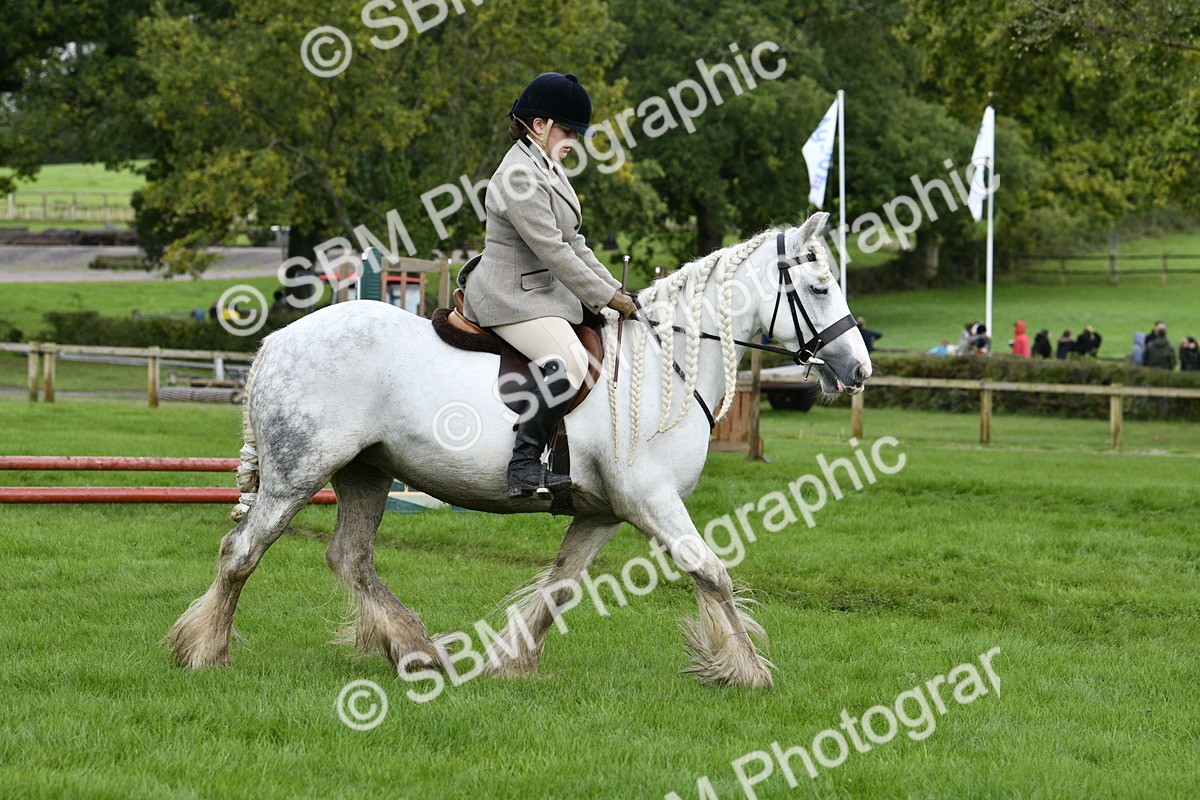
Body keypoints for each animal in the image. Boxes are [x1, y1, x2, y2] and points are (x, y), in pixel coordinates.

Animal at [167, 212, 871, 689]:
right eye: (819, 287)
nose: (858, 369)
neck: (662, 363)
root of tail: (277, 341)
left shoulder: (602, 511)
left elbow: (560, 587)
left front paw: (515, 663)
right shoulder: (652, 500)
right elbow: (711, 572)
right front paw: (748, 670)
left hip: (366, 472)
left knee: (350, 558)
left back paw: (419, 651)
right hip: (296, 475)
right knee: (242, 552)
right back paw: (206, 653)